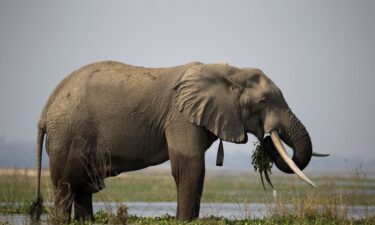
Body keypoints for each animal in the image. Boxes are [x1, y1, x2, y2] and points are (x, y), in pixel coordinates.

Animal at [30, 61, 328, 221]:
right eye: (264, 101)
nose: (266, 140)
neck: (229, 71)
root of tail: (45, 109)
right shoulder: (180, 116)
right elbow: (189, 166)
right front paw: (184, 221)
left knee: (83, 185)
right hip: (69, 134)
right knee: (67, 185)